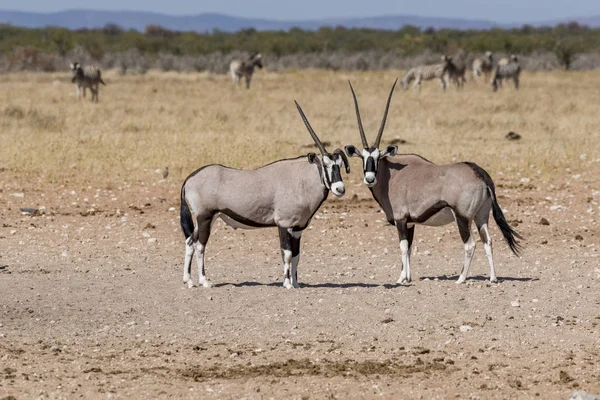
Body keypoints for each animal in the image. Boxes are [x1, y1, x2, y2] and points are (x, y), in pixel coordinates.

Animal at [180, 101, 350, 288]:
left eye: (341, 165)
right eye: (325, 165)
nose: (340, 189)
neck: (301, 179)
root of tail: (190, 178)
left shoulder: (298, 228)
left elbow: (296, 256)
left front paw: (296, 284)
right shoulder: (284, 224)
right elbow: (287, 254)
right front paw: (287, 284)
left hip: (206, 219)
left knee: (190, 241)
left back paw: (189, 280)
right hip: (205, 217)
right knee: (200, 245)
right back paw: (204, 281)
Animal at [344, 79, 524, 284]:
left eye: (377, 158)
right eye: (363, 158)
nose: (369, 178)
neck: (391, 175)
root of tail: (480, 174)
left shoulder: (400, 220)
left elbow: (403, 247)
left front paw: (401, 280)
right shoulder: (410, 223)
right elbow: (409, 249)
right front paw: (406, 277)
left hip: (463, 217)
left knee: (470, 244)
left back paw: (461, 278)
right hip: (481, 216)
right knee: (488, 241)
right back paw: (493, 278)